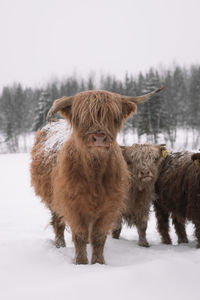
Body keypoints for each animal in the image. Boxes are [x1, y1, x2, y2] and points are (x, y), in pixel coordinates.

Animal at [30, 88, 163, 264]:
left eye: (112, 116)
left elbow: (99, 237)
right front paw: (81, 262)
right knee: (58, 222)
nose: (99, 138)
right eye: (83, 117)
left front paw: (99, 263)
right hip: (53, 200)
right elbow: (79, 235)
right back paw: (59, 245)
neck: (94, 173)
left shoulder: (109, 206)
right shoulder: (72, 205)